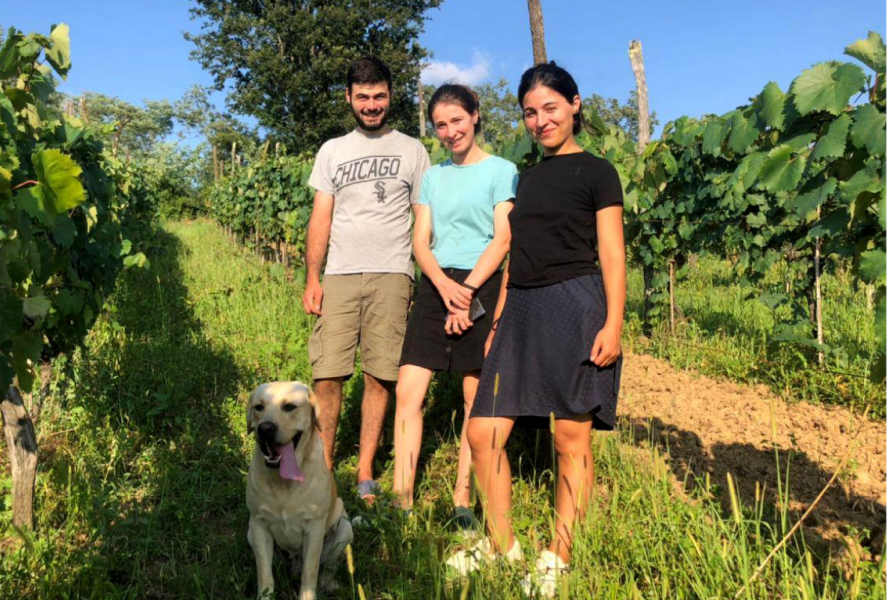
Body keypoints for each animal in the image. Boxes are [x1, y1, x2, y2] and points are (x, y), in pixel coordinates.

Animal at [246, 382, 354, 600]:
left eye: (289, 407)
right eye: (259, 407)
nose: (265, 429)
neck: (284, 482)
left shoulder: (314, 528)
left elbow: (310, 571)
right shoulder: (258, 524)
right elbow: (265, 573)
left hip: (345, 529)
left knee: (329, 566)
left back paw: (329, 583)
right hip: (250, 532)